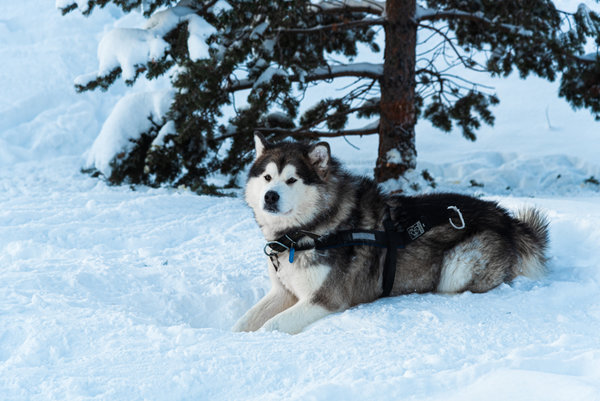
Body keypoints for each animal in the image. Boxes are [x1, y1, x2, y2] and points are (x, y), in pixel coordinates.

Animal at [232, 133, 552, 332]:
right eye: (267, 177)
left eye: (292, 180)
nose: (270, 196)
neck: (303, 234)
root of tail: (507, 219)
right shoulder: (283, 290)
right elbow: (243, 322)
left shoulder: (325, 299)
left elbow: (270, 326)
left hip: (457, 267)